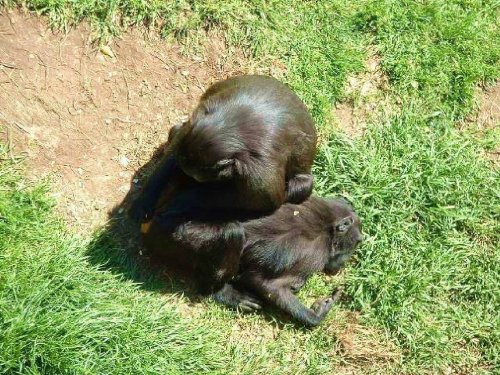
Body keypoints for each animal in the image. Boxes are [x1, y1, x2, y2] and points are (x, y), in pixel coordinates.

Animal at [129, 75, 316, 223]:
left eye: (196, 178)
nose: (186, 179)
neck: (233, 127)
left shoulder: (260, 174)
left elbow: (259, 202)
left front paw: (178, 202)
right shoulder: (194, 122)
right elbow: (174, 154)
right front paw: (145, 200)